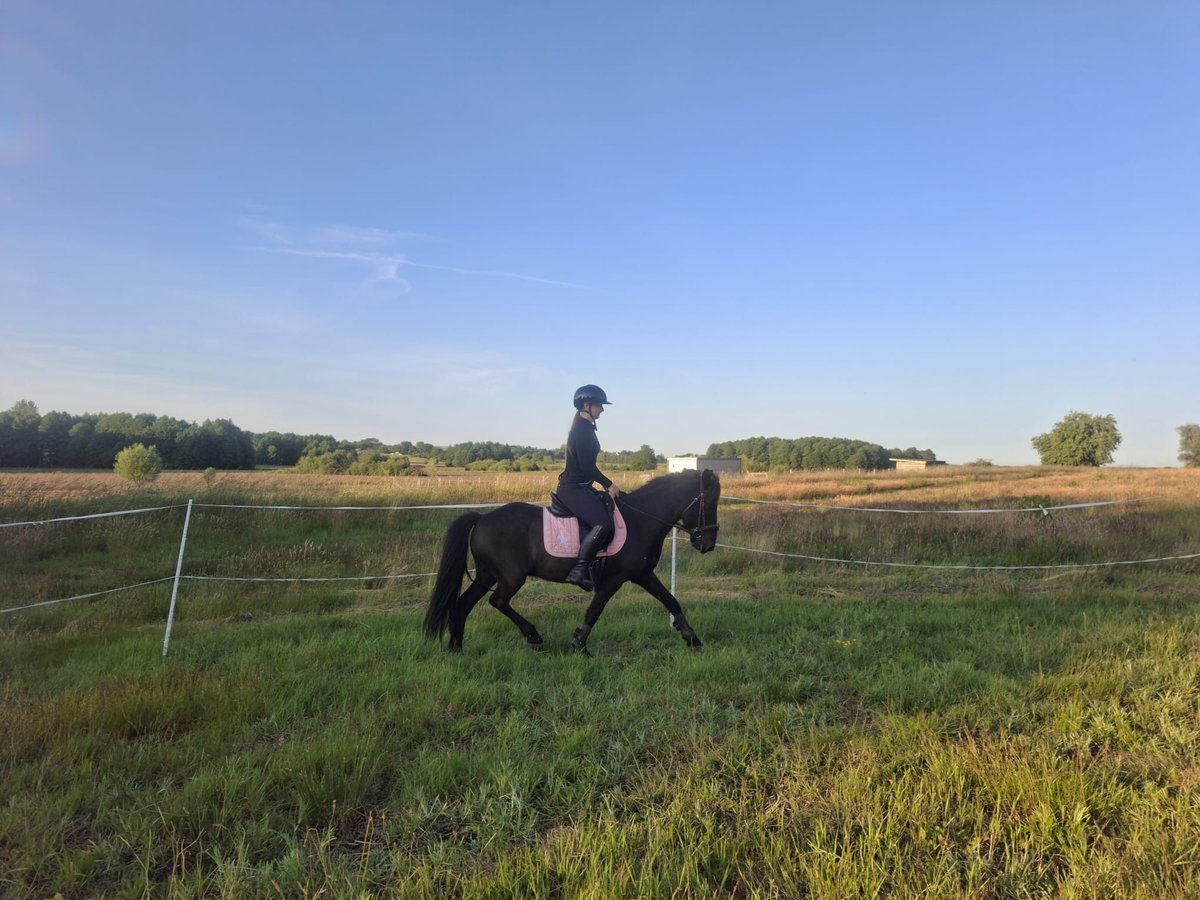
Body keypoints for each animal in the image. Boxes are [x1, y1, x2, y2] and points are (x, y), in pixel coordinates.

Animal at [424, 468, 721, 654]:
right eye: (709, 503)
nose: (708, 545)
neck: (641, 519)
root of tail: (482, 518)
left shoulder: (643, 575)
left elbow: (671, 600)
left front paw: (692, 639)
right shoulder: (613, 579)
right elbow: (594, 611)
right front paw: (579, 644)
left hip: (487, 575)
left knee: (463, 604)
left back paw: (456, 648)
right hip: (510, 577)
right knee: (498, 601)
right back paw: (532, 635)